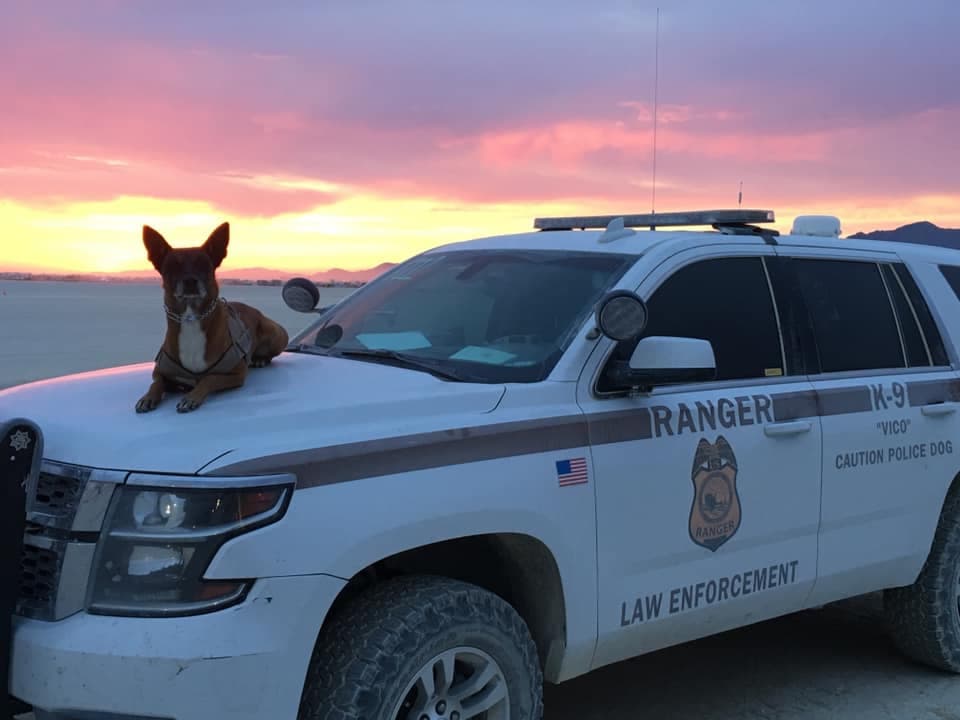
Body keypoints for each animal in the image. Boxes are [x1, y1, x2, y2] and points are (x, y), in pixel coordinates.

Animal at [134, 222, 288, 414]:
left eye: (203, 265)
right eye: (173, 267)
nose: (190, 280)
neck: (191, 318)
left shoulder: (236, 374)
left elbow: (210, 378)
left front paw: (191, 397)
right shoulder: (160, 370)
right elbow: (156, 383)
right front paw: (147, 397)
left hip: (276, 333)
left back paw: (260, 359)